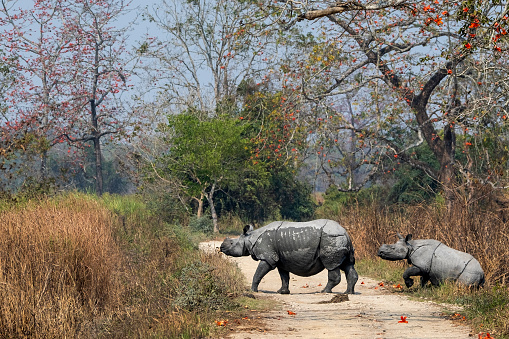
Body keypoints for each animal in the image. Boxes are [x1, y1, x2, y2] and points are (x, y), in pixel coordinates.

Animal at [218, 220, 358, 294]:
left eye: (232, 243)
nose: (221, 247)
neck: (250, 238)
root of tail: (346, 232)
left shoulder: (267, 257)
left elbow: (258, 274)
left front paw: (252, 290)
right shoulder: (281, 260)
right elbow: (284, 276)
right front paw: (282, 292)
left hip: (331, 238)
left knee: (331, 265)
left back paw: (324, 291)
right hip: (339, 239)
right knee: (347, 264)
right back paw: (348, 292)